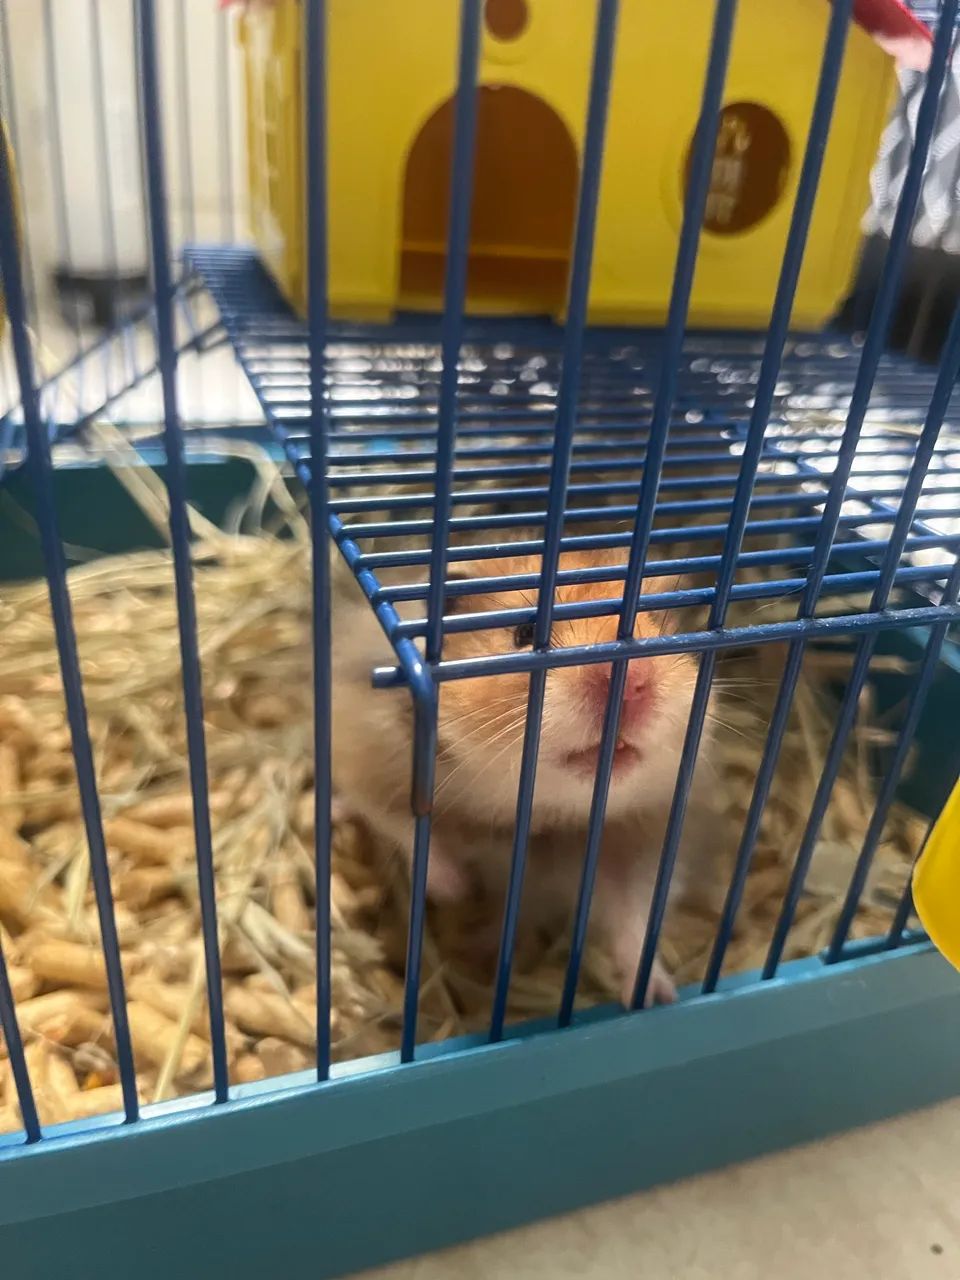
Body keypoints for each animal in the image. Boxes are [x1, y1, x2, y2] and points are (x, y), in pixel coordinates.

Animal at [331, 547, 715, 1008]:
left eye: (656, 625)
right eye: (525, 632)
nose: (632, 683)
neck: (538, 806)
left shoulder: (639, 840)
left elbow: (633, 922)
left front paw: (654, 997)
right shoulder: (367, 750)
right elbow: (399, 819)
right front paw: (454, 888)